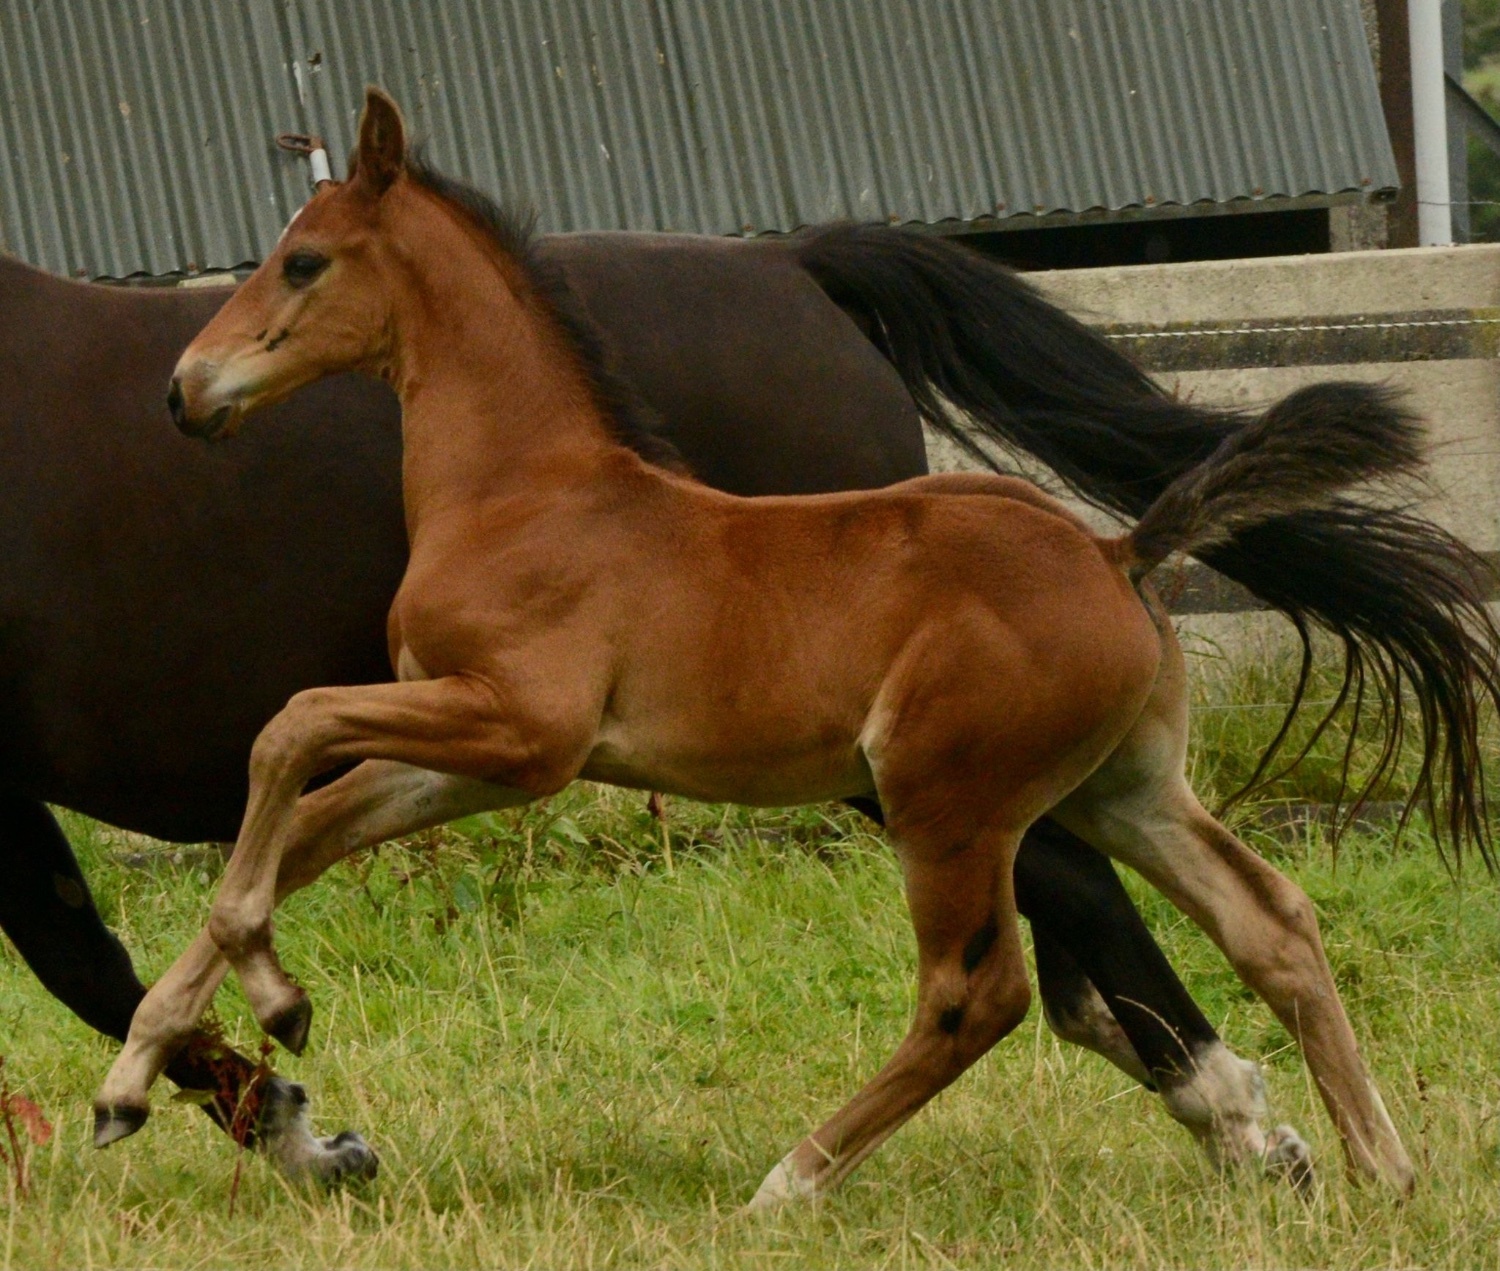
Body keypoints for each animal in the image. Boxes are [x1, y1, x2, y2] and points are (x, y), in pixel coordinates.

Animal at [98, 88, 1492, 1201]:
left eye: (303, 262)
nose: (183, 389)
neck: (526, 489)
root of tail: (1115, 552)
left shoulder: (523, 724)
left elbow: (289, 735)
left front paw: (274, 1003)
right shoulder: (475, 750)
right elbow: (309, 823)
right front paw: (135, 1074)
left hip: (943, 799)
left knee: (975, 995)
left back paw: (793, 1178)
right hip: (1122, 786)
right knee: (1274, 918)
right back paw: (1382, 1165)